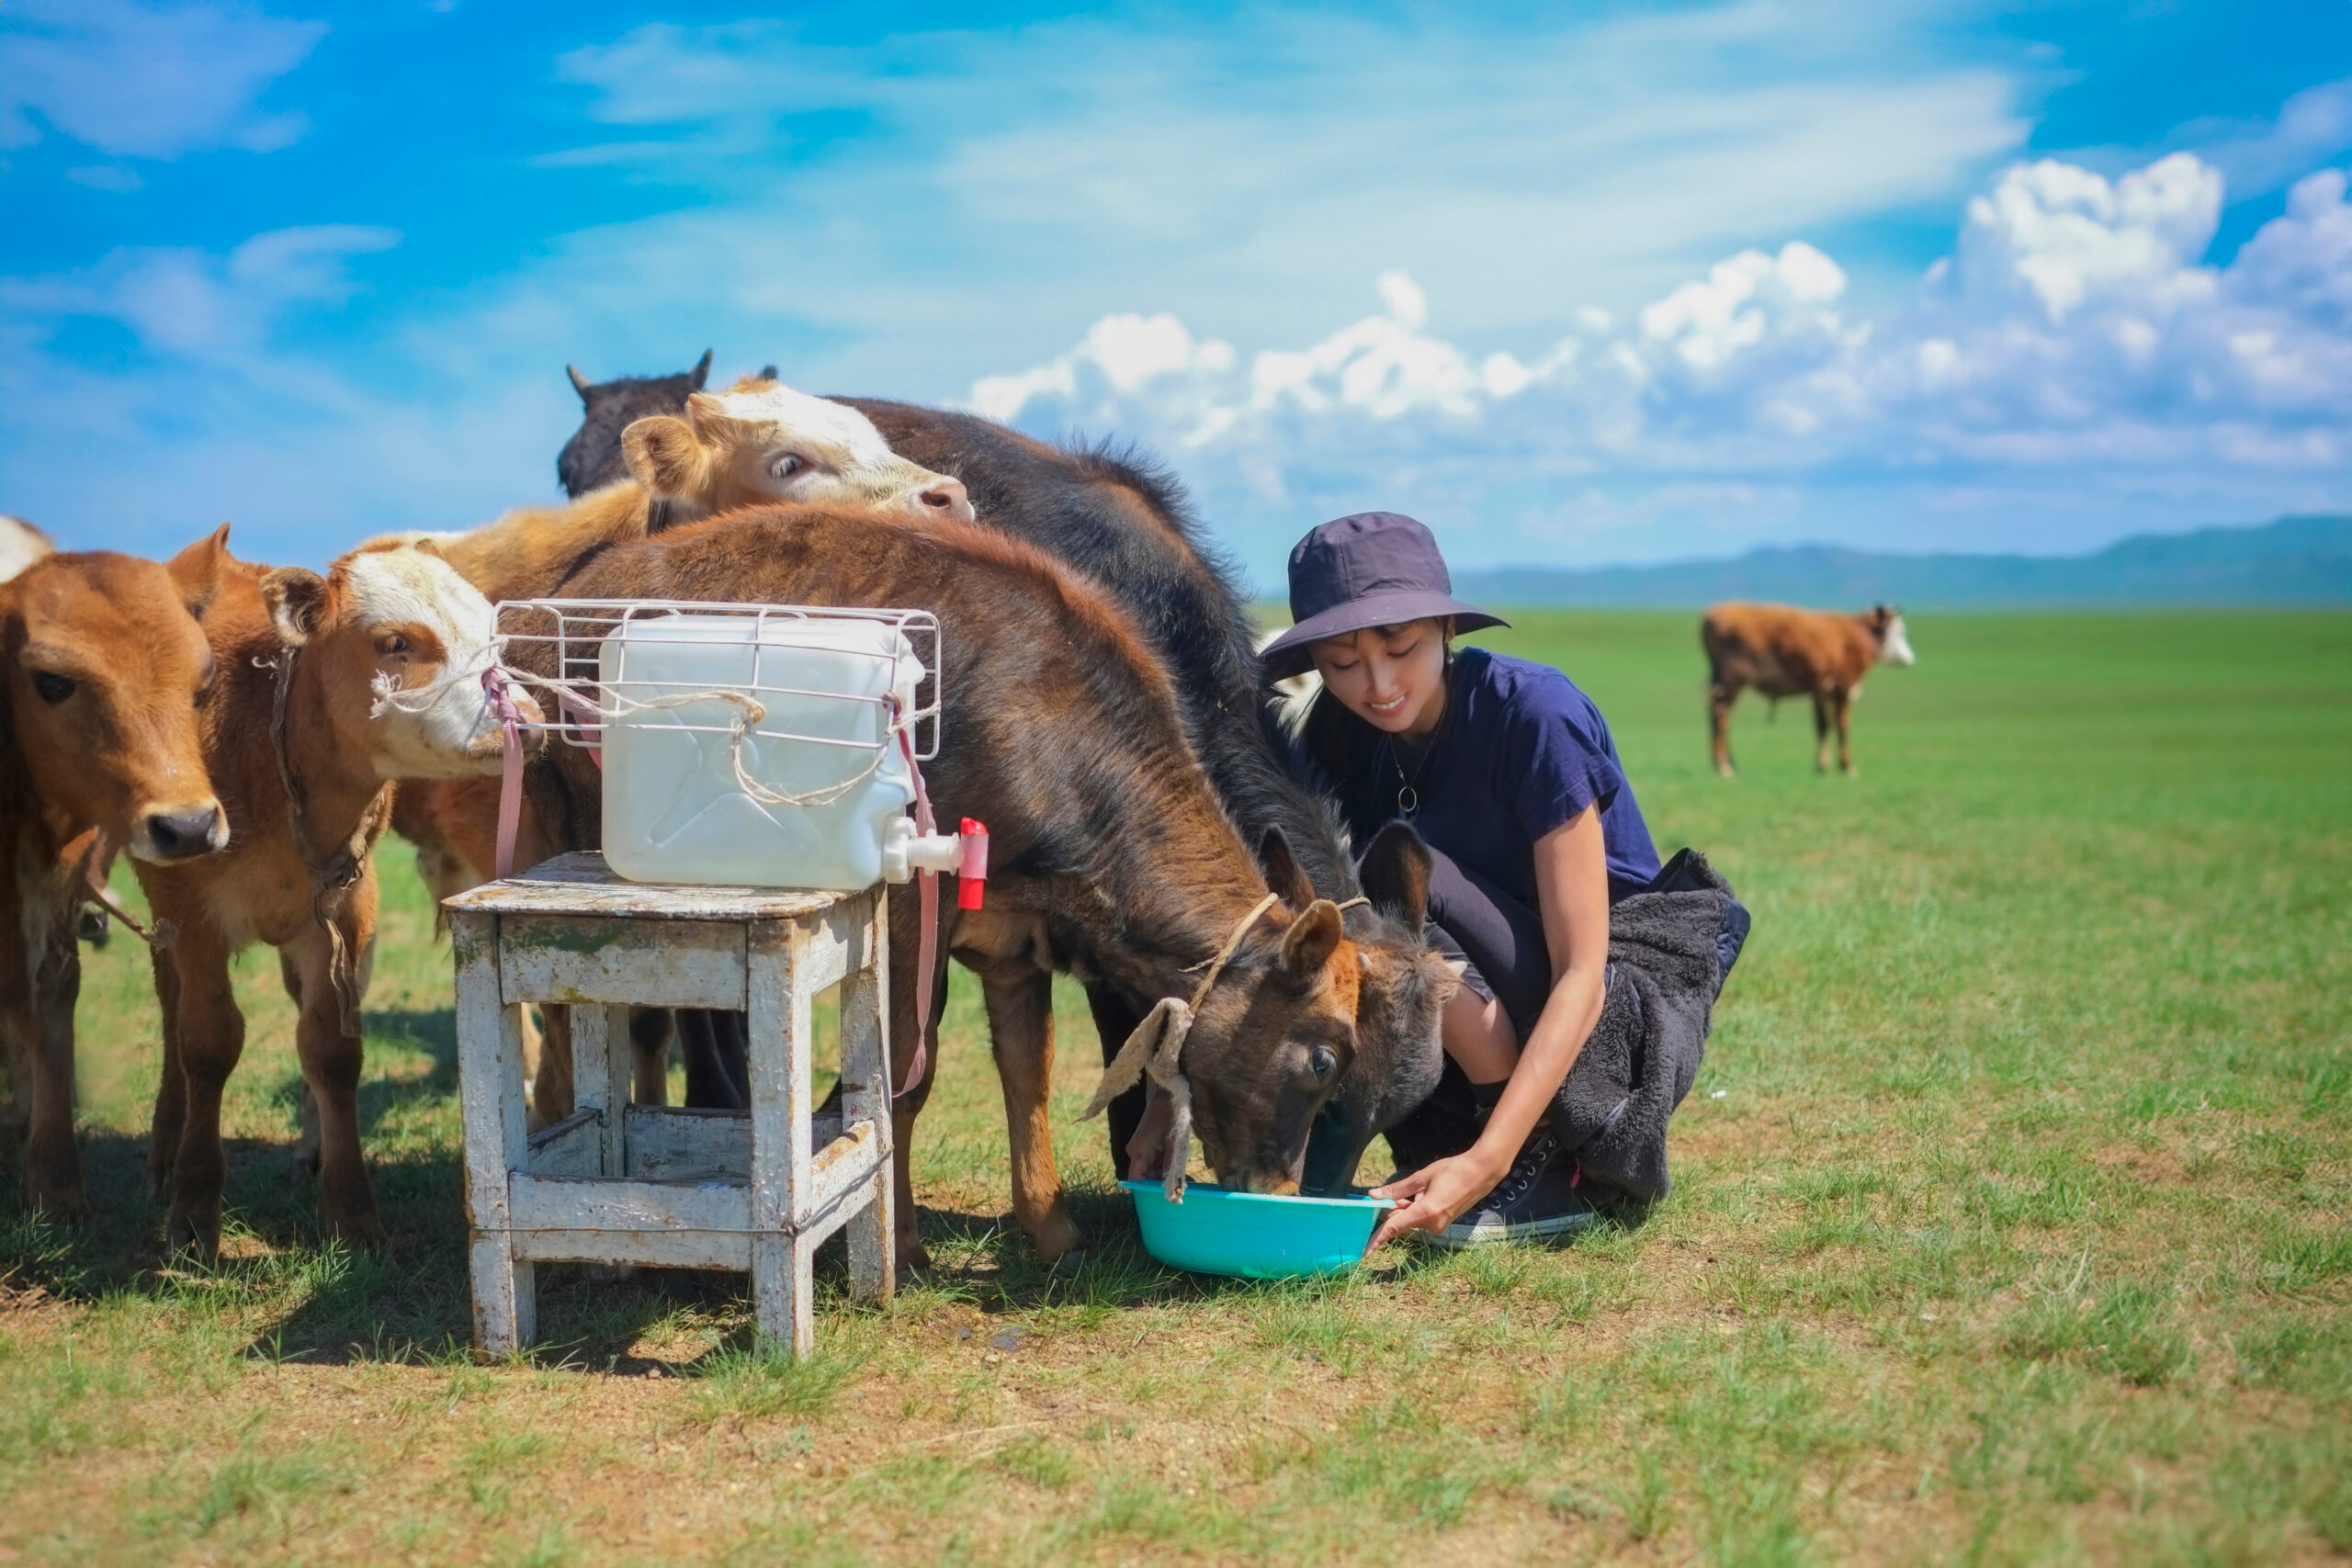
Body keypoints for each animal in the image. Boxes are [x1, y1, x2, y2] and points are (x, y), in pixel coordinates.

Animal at [136, 536, 542, 1259]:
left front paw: (350, 1210)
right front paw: (192, 1211)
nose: (525, 722)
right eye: (396, 643)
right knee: (170, 1015)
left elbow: (331, 1049)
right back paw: (163, 1153)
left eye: (493, 635)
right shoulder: (191, 915)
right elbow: (207, 1045)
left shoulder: (346, 911)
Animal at [1702, 602, 1916, 777]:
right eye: (1901, 633)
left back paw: (1729, 764)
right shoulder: (1843, 688)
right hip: (1732, 681)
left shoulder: (1820, 692)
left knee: (1722, 717)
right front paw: (1847, 767)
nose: (1910, 658)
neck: (1860, 636)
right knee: (1721, 716)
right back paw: (1724, 767)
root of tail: (1709, 616)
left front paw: (1822, 765)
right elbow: (1842, 726)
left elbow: (1822, 727)